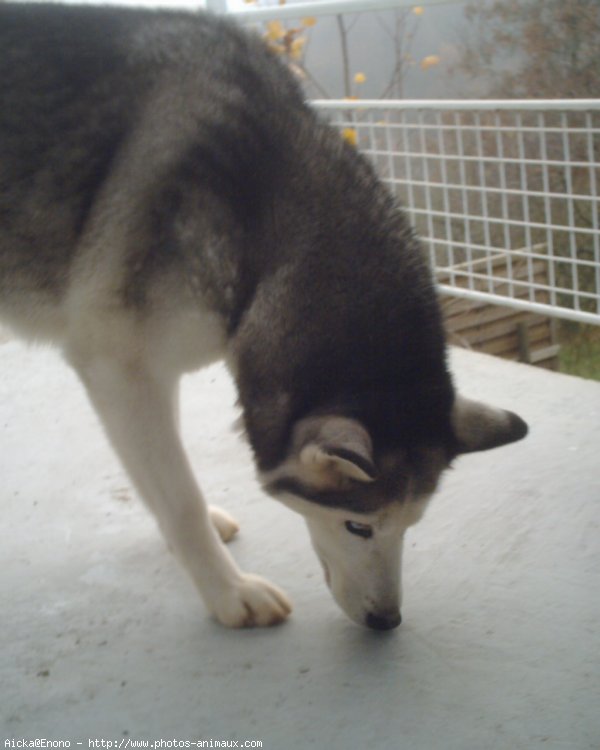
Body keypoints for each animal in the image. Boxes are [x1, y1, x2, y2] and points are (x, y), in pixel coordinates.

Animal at [0, 2, 524, 632]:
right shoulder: (117, 366)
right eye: (358, 525)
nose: (387, 621)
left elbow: (163, 476)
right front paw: (229, 593)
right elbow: (179, 495)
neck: (267, 224)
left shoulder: (150, 373)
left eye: (411, 525)